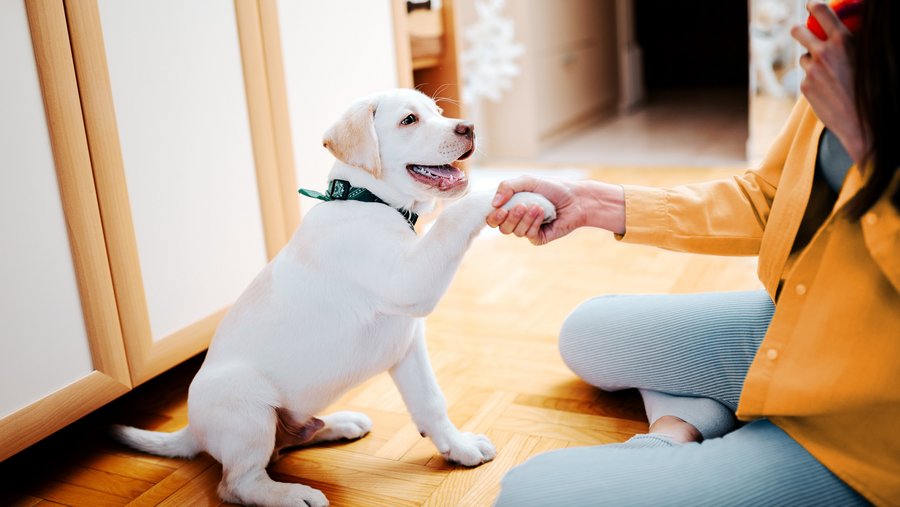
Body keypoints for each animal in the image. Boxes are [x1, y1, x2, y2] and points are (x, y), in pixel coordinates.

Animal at [113, 89, 556, 506]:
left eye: (439, 112)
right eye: (409, 120)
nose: (469, 128)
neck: (367, 200)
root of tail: (193, 430)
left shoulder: (407, 342)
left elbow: (431, 401)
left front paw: (458, 447)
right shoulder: (410, 281)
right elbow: (452, 216)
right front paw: (521, 196)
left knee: (282, 447)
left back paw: (339, 424)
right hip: (246, 406)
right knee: (238, 483)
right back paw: (293, 495)